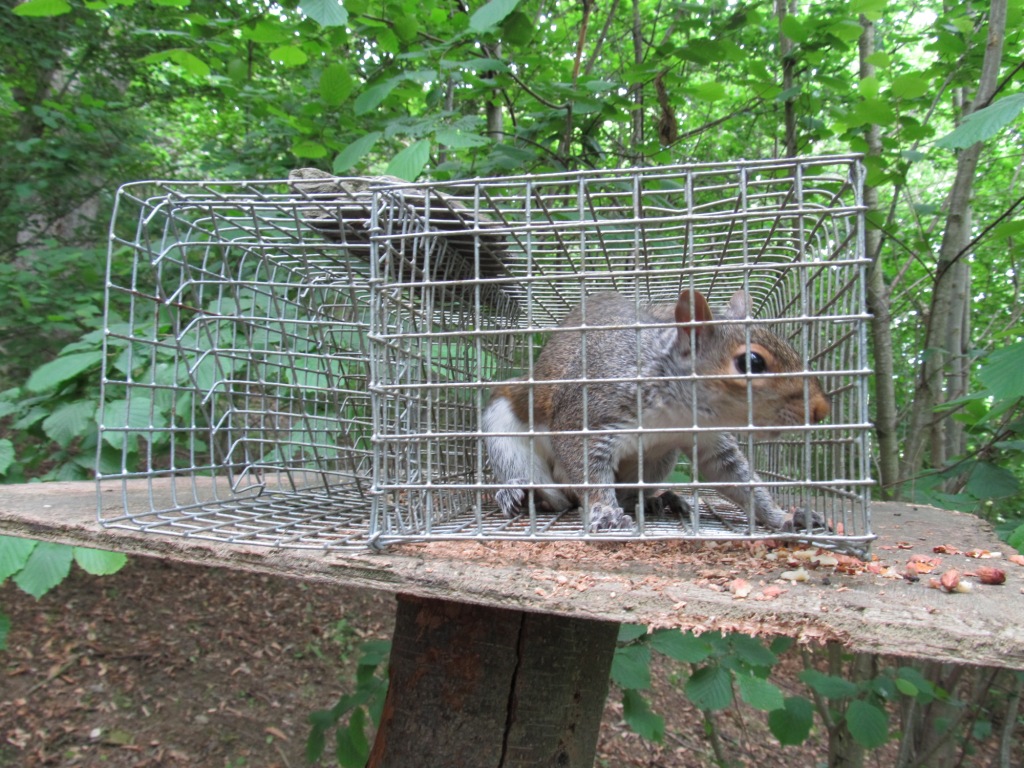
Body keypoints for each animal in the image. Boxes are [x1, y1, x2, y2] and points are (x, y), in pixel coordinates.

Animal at [482, 289, 831, 532]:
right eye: (752, 362)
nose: (820, 410)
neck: (675, 412)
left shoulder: (708, 439)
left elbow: (735, 478)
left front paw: (785, 517)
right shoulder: (587, 414)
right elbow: (587, 467)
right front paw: (604, 512)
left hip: (656, 461)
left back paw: (657, 499)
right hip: (506, 428)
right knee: (554, 496)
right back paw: (525, 494)